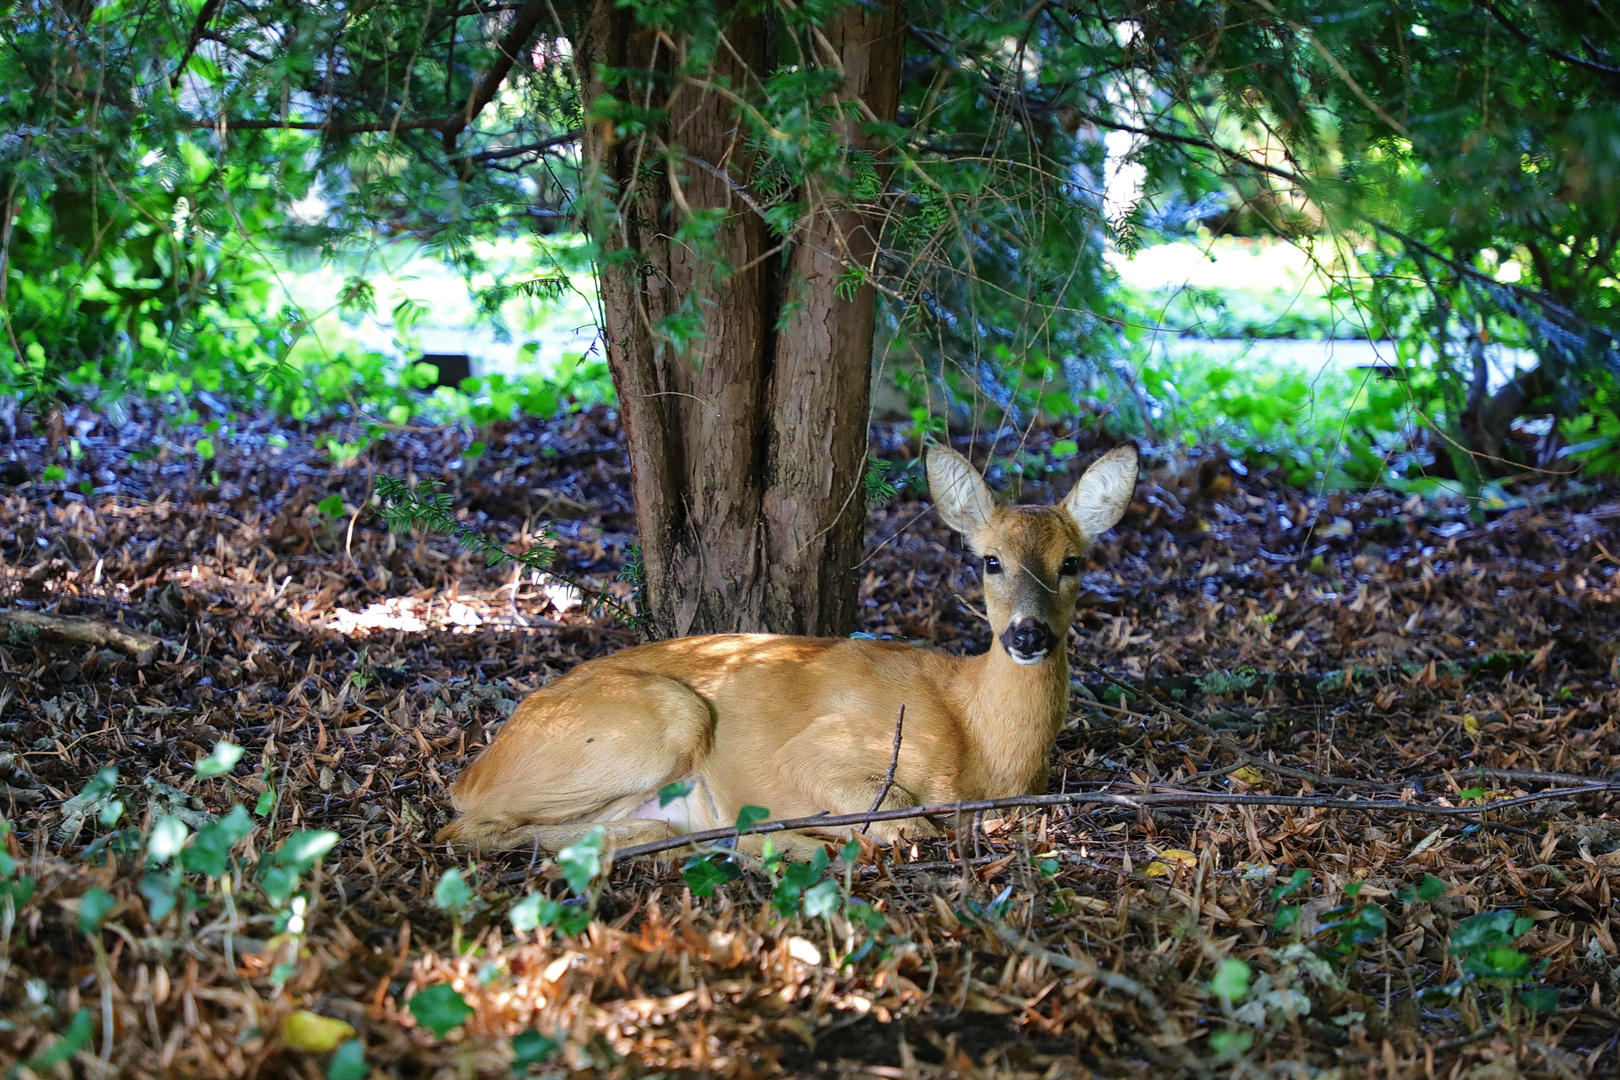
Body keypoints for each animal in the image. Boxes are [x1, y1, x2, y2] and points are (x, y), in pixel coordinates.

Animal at [434, 443, 1140, 854]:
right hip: (662, 718)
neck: (981, 744)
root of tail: (474, 770)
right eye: (991, 561)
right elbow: (907, 818)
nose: (1028, 634)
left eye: (1073, 561)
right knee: (469, 829)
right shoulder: (827, 746)